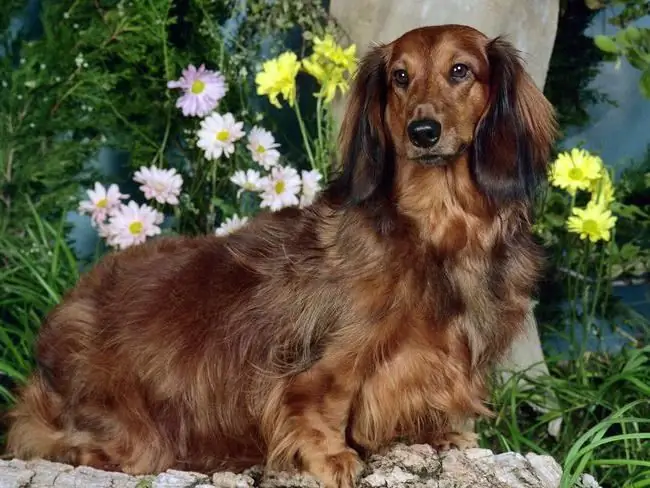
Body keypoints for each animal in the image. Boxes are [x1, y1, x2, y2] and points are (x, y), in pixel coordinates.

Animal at [5, 23, 556, 488]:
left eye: (460, 70)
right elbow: (318, 402)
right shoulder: (328, 360)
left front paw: (440, 432)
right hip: (131, 430)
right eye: (400, 77)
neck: (434, 231)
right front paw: (333, 457)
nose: (422, 132)